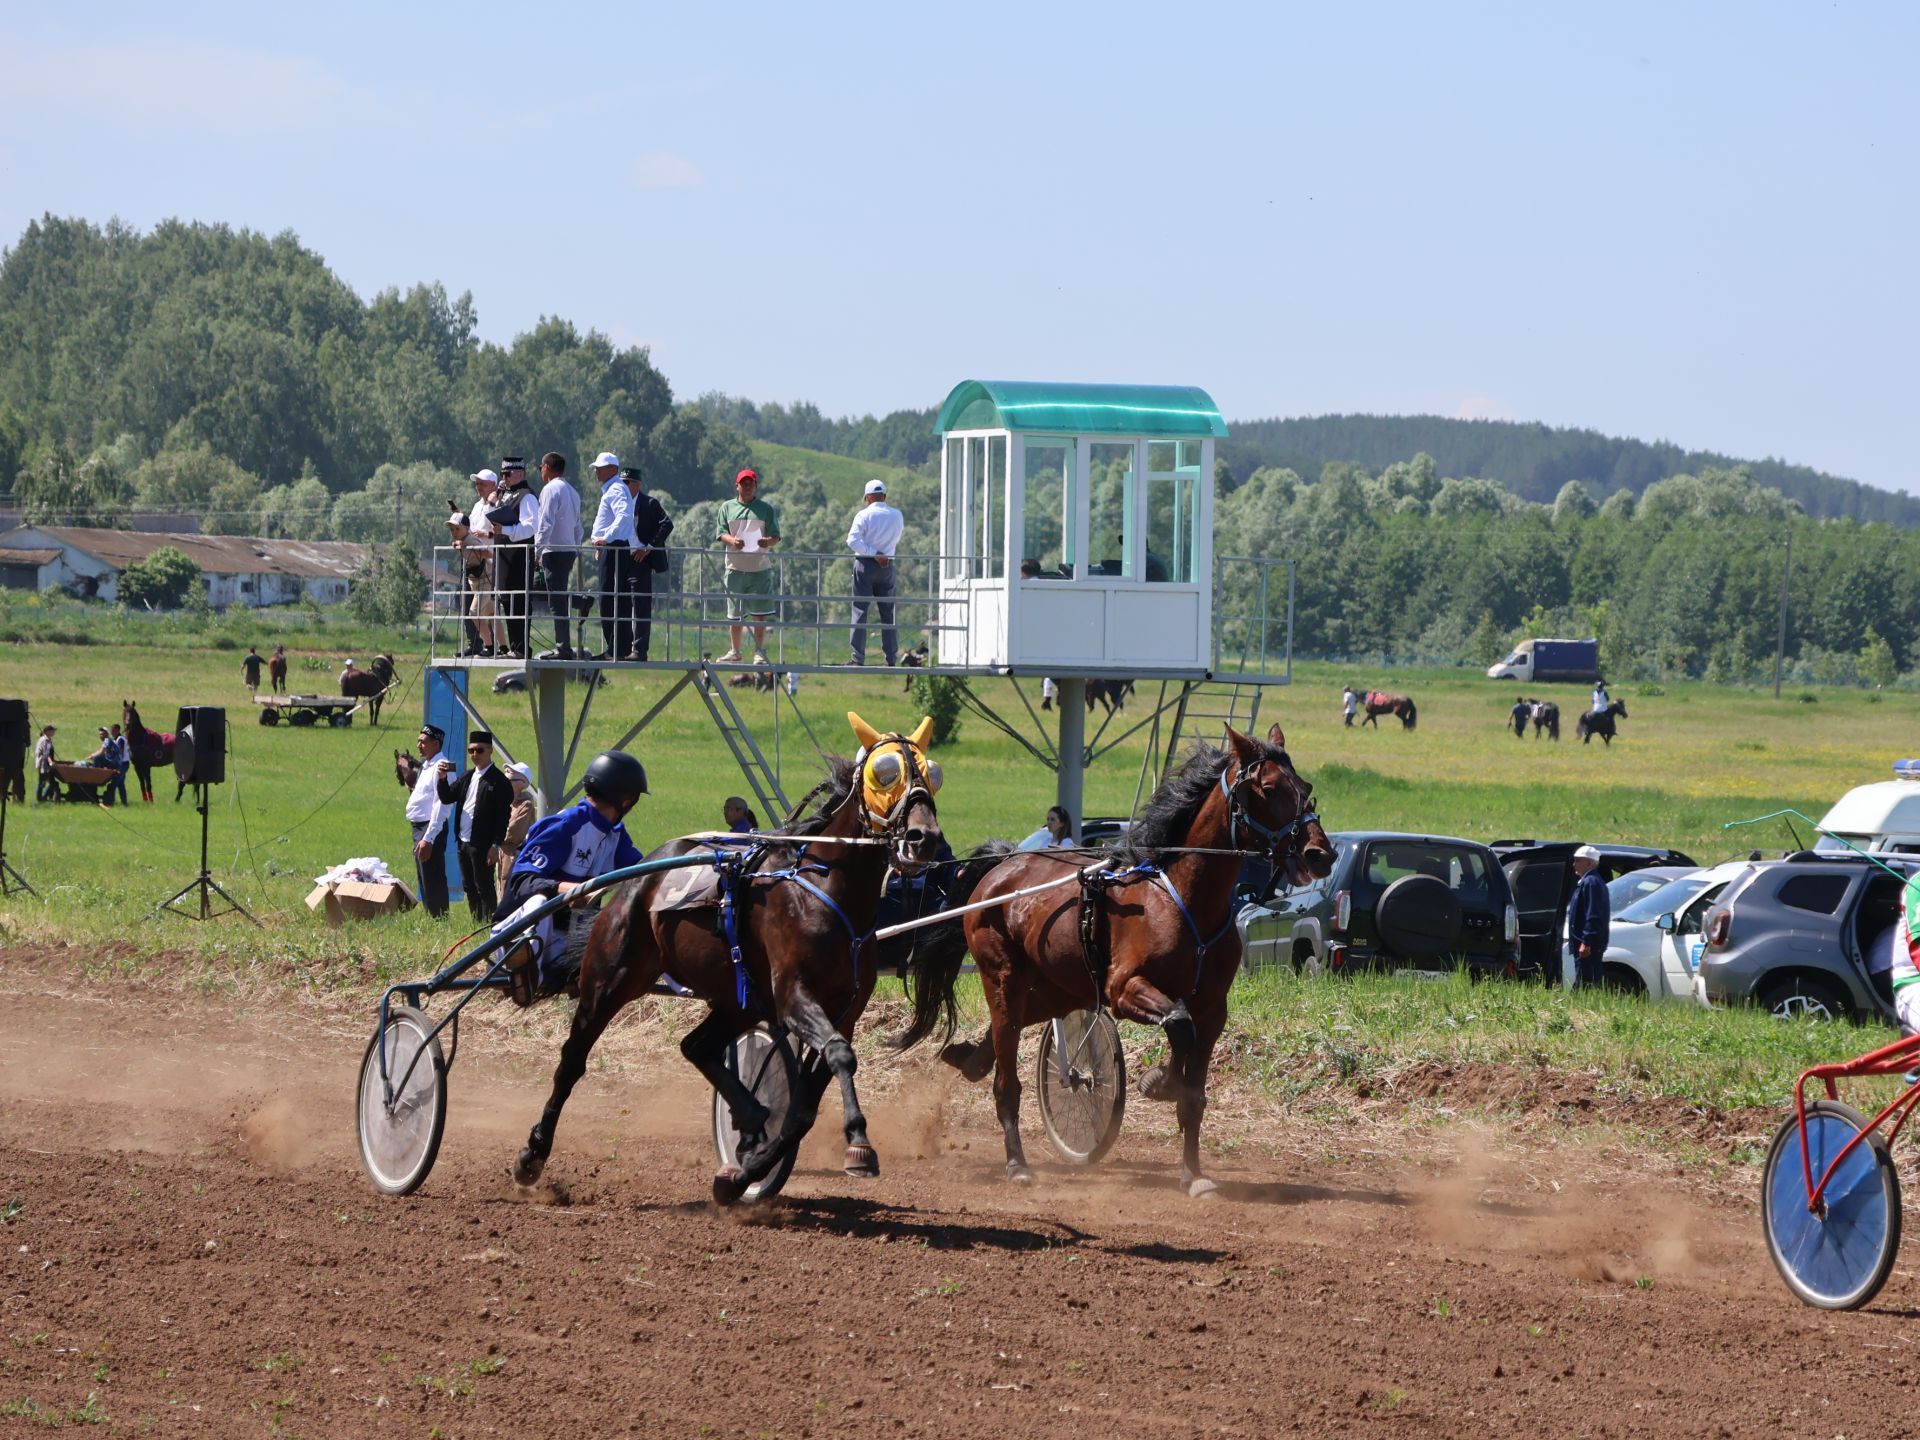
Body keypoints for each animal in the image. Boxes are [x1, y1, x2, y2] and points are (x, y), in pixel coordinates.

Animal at [514, 714, 948, 1205]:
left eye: (932, 773)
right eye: (885, 771)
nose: (924, 838)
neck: (825, 888)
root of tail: (642, 873)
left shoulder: (845, 1009)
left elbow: (803, 1107)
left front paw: (746, 1172)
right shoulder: (794, 996)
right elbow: (839, 1055)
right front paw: (858, 1143)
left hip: (737, 1001)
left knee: (697, 1047)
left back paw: (753, 1117)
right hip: (611, 977)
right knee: (573, 1059)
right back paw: (533, 1153)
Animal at [933, 725, 1328, 1198]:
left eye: (1305, 786)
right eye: (1268, 788)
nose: (1320, 853)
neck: (1185, 901)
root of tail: (1001, 867)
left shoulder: (1213, 1009)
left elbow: (1194, 1085)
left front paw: (1192, 1173)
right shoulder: (1123, 990)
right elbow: (1178, 1023)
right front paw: (1161, 1081)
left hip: (1057, 987)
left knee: (1008, 1030)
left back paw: (971, 1058)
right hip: (1004, 978)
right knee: (1006, 1070)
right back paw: (1016, 1163)